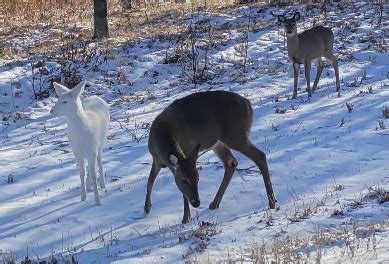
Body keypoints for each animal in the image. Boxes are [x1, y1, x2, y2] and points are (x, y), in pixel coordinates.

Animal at [143, 90, 276, 223]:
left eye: (197, 178)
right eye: (184, 180)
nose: (196, 202)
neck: (161, 135)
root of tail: (248, 105)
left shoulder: (186, 150)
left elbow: (181, 193)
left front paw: (186, 218)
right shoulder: (156, 159)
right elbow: (150, 181)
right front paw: (146, 208)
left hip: (235, 134)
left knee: (259, 155)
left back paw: (272, 202)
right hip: (218, 142)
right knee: (231, 162)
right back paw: (214, 203)